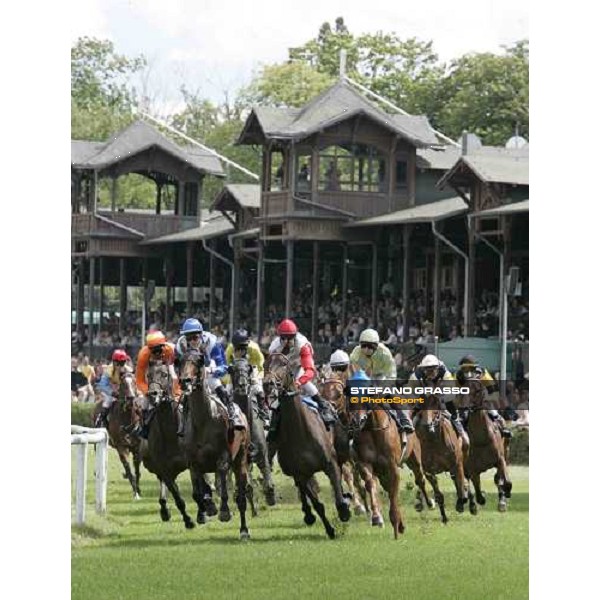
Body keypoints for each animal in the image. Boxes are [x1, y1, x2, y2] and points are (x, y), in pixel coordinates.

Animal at [139, 360, 198, 528]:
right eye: (148, 375)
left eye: (165, 374)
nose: (153, 394)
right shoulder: (163, 467)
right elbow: (177, 496)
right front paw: (188, 520)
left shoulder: (192, 462)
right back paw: (164, 509)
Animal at [179, 346, 252, 540]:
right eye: (179, 361)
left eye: (199, 361)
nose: (185, 381)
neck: (203, 420)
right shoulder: (193, 462)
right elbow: (198, 492)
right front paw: (204, 512)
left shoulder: (223, 457)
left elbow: (223, 483)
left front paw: (224, 511)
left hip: (241, 459)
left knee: (241, 497)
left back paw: (244, 530)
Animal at [230, 358, 276, 508]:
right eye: (233, 370)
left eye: (248, 368)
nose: (242, 385)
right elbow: (247, 486)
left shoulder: (262, 453)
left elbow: (267, 478)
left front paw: (270, 496)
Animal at [264, 352, 352, 540]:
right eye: (266, 364)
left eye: (284, 365)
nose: (268, 384)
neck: (300, 431)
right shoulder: (300, 473)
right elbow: (317, 504)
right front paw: (330, 530)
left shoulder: (331, 463)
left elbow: (338, 495)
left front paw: (345, 508)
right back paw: (308, 514)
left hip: (341, 452)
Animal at [462, 376, 512, 510]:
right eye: (463, 390)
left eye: (477, 390)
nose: (465, 408)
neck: (481, 438)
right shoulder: (472, 468)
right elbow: (478, 493)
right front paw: (481, 498)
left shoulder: (500, 459)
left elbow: (506, 481)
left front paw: (504, 497)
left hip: (506, 450)